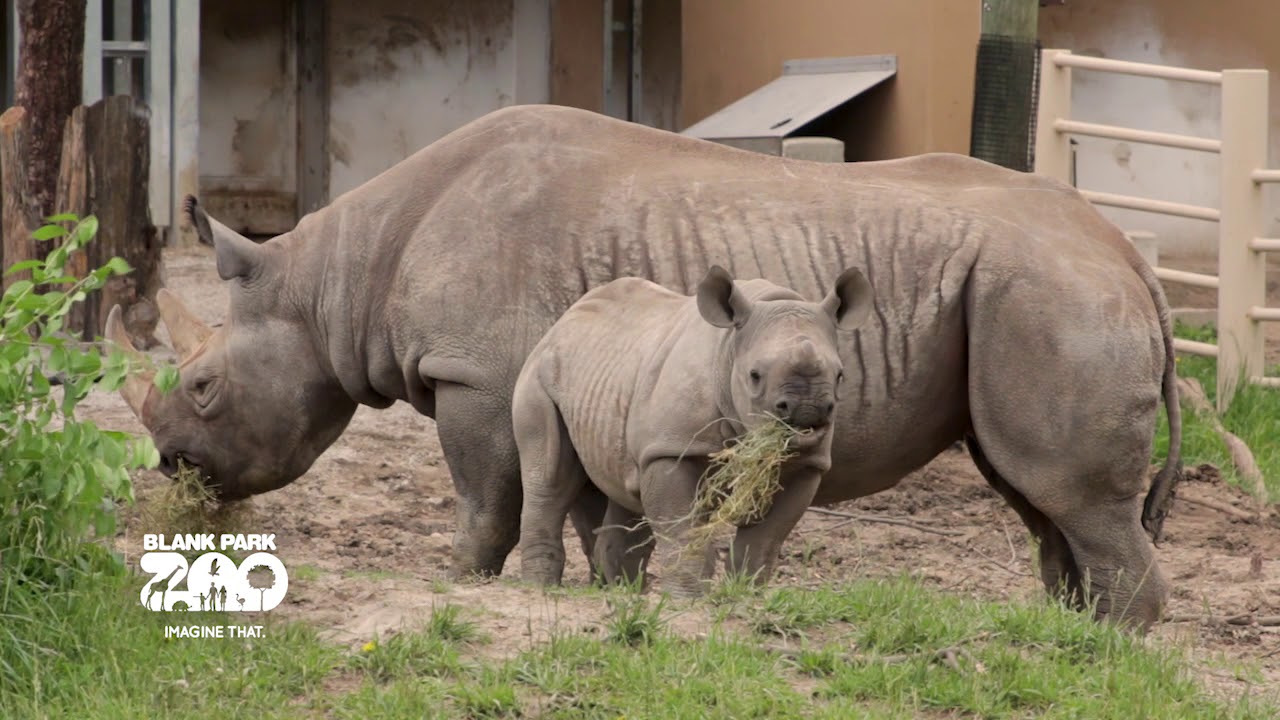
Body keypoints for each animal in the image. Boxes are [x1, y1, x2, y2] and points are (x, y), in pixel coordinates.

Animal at [514, 265, 872, 593]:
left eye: (840, 375)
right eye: (755, 376)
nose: (808, 410)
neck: (730, 349)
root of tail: (561, 323)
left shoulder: (807, 464)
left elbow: (766, 538)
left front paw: (744, 593)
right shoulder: (670, 448)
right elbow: (680, 529)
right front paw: (686, 597)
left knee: (627, 487)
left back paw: (623, 591)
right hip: (538, 376)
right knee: (549, 479)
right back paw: (540, 588)